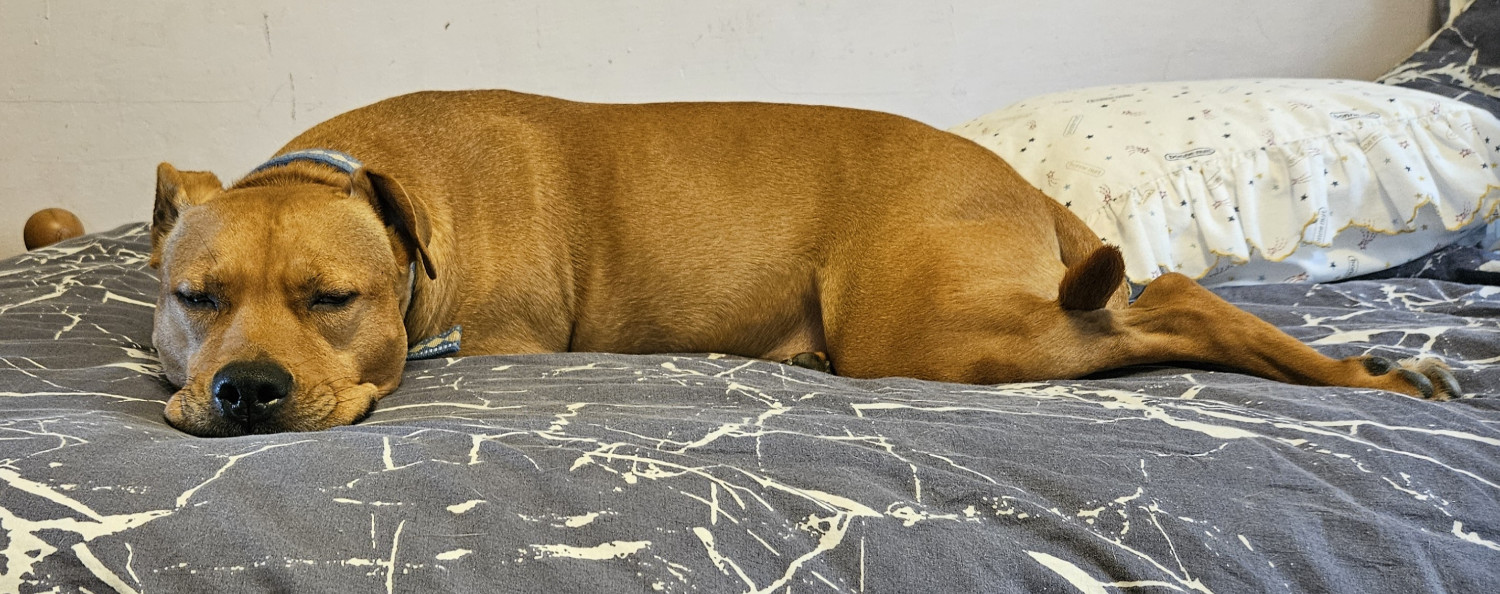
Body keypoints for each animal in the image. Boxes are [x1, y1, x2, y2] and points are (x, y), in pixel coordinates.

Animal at [146, 91, 1458, 435]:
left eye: (333, 300)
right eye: (192, 299)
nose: (246, 391)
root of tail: (1016, 177)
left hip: (926, 332)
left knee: (1174, 296)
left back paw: (1366, 376)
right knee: (1156, 297)